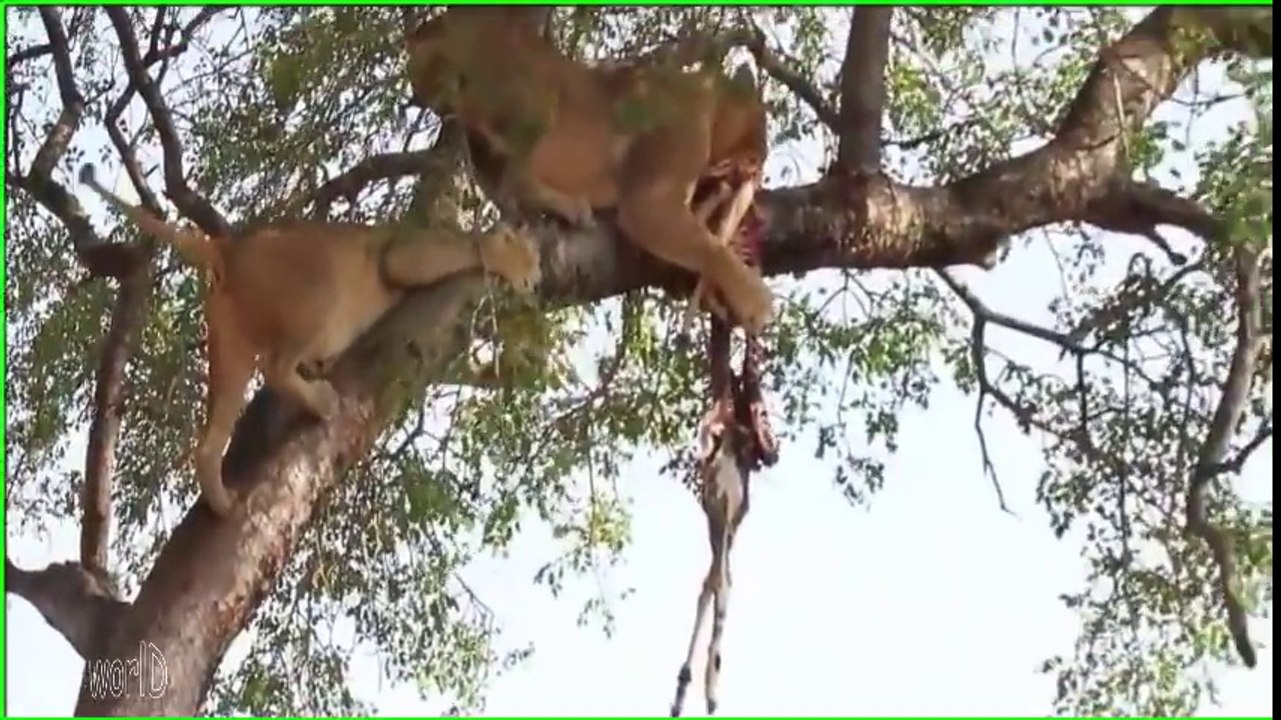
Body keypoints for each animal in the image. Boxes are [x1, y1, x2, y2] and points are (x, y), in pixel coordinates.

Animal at [79, 164, 541, 518]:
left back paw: (222, 502)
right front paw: (501, 261)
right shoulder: (402, 255)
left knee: (209, 440)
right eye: (534, 258)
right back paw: (322, 400)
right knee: (276, 367)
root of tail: (229, 246)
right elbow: (465, 255)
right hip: (323, 288)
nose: (537, 280)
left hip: (231, 347)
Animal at [404, 9, 774, 335]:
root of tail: (428, 31)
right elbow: (710, 247)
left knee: (499, 181)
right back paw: (569, 207)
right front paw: (754, 300)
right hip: (538, 92)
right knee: (516, 178)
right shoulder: (650, 201)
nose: (761, 164)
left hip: (479, 134)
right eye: (762, 129)